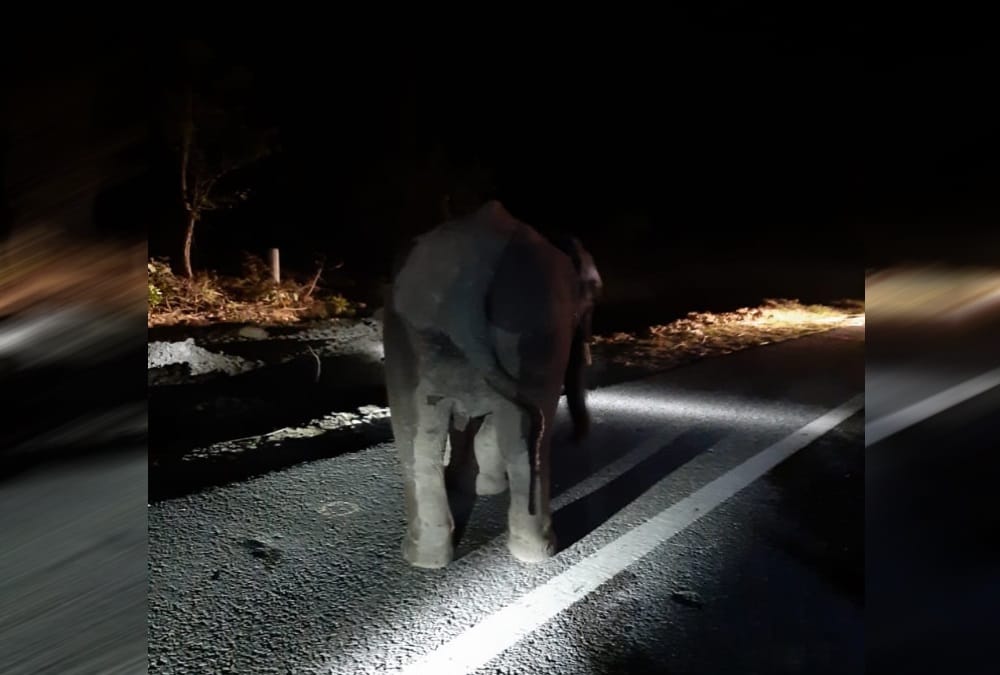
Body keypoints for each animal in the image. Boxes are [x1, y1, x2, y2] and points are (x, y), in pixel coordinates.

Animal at [382, 199, 602, 568]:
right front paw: (474, 486)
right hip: (523, 332)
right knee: (522, 436)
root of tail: (472, 274)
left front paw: (476, 487)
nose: (579, 439)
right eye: (591, 300)